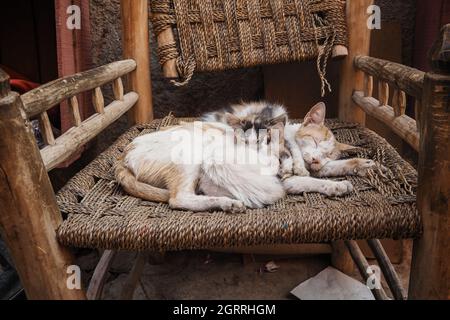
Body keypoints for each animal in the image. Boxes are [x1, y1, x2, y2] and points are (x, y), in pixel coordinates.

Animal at [114, 102, 378, 212]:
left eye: (326, 153)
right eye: (313, 141)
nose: (315, 159)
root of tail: (123, 156)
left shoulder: (317, 168)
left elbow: (333, 168)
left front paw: (361, 166)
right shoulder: (286, 175)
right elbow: (308, 178)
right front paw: (332, 184)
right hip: (191, 159)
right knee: (179, 199)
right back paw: (226, 203)